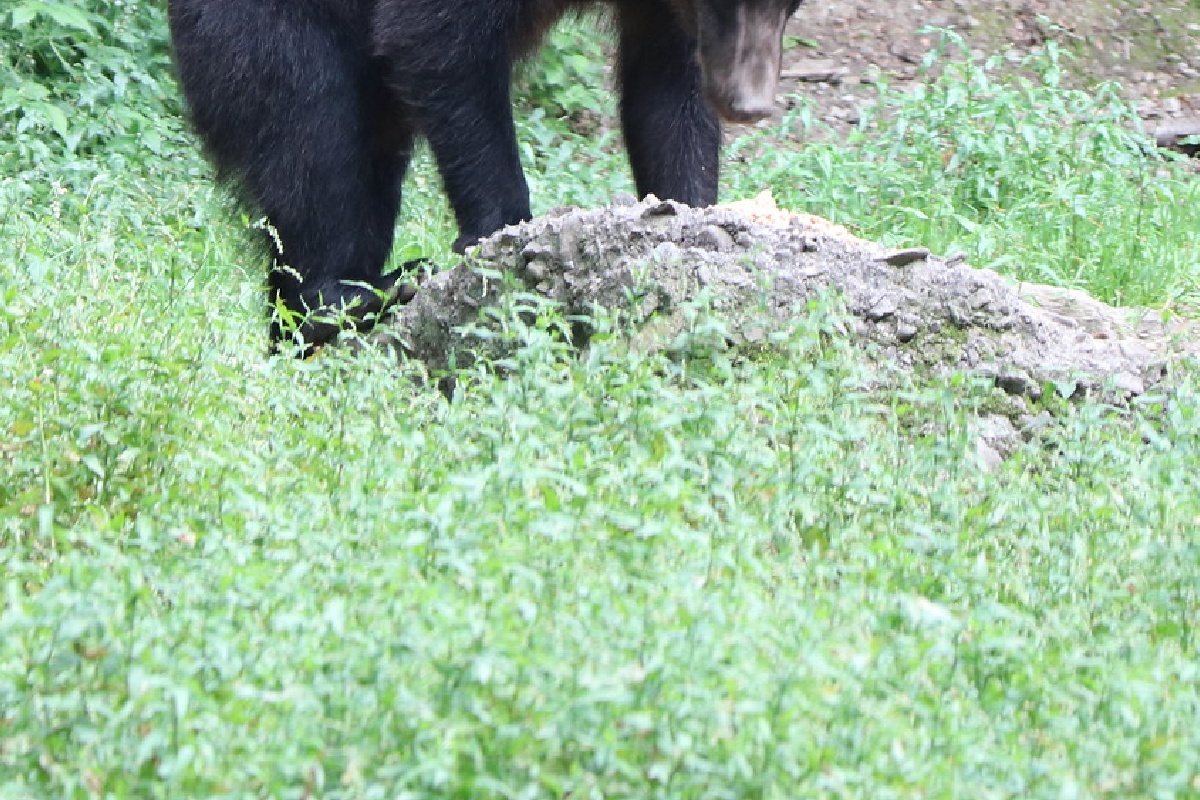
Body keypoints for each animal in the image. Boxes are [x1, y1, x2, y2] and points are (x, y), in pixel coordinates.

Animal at [167, 0, 803, 354]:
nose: (747, 103)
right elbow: (436, 39)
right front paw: (502, 239)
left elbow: (667, 83)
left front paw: (690, 214)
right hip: (268, 29)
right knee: (317, 141)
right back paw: (351, 296)